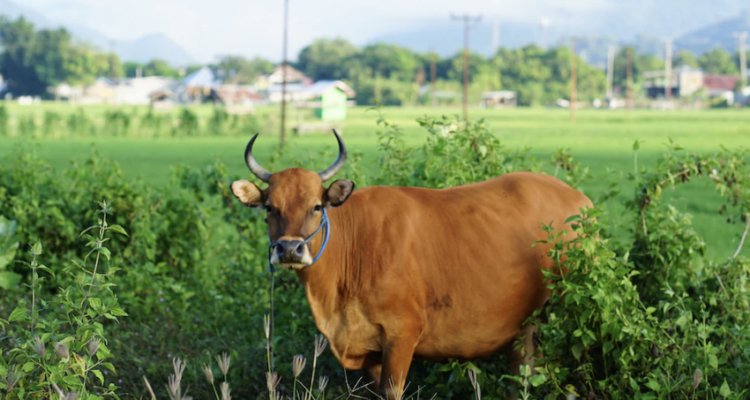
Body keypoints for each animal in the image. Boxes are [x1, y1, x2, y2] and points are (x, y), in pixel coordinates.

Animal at [232, 130, 596, 396]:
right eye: (270, 208)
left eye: (316, 206)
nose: (290, 249)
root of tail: (579, 199)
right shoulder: (370, 352)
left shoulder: (402, 334)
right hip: (526, 328)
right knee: (524, 374)